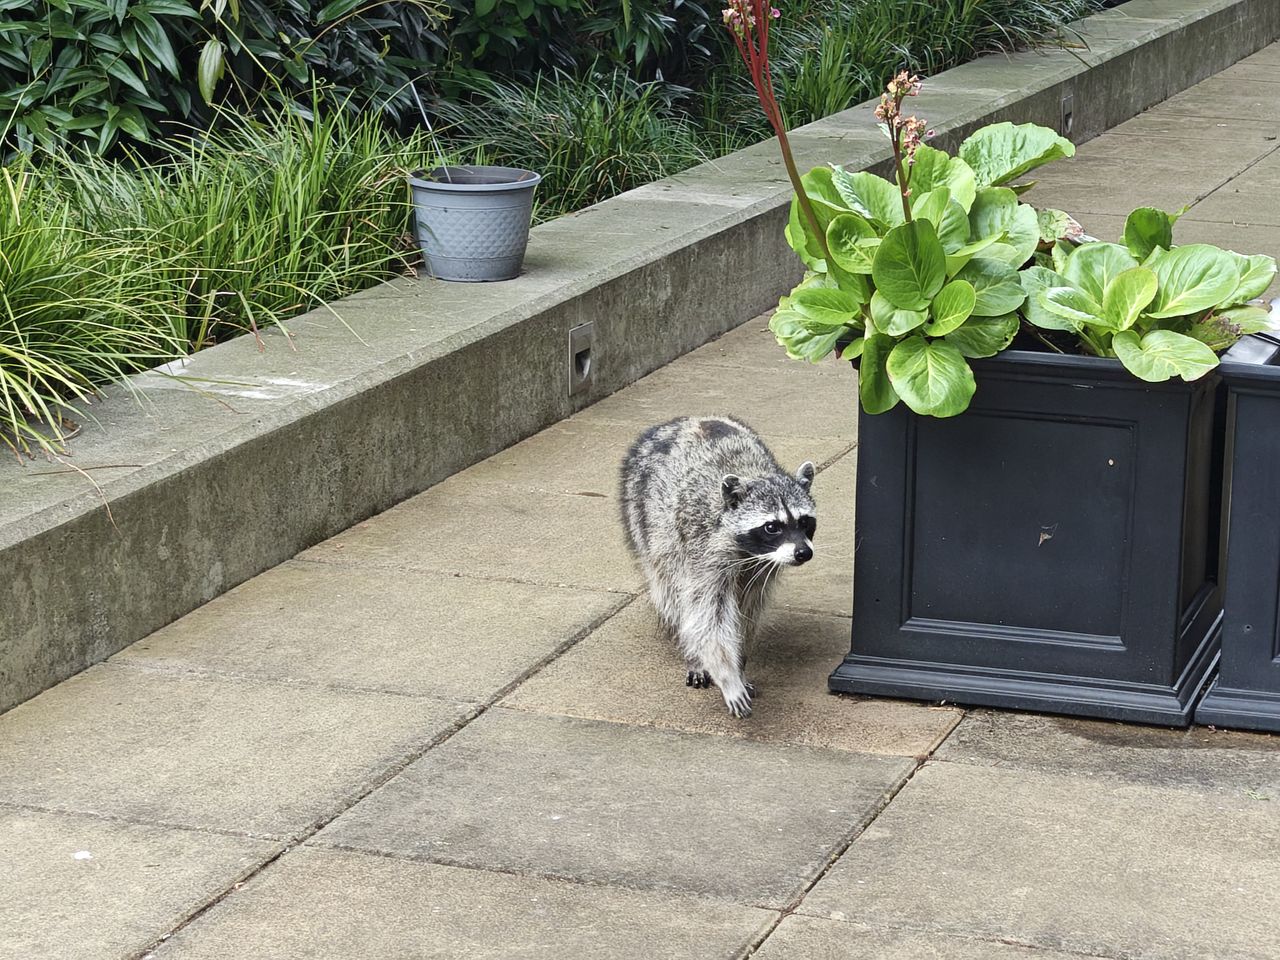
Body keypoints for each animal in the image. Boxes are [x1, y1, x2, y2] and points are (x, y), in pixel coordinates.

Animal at [620, 416, 816, 718]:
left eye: (805, 522)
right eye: (772, 527)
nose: (803, 553)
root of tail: (681, 420)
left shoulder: (761, 570)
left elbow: (747, 613)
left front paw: (740, 664)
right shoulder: (705, 552)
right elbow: (709, 616)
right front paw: (727, 674)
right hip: (647, 520)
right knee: (671, 592)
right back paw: (693, 654)